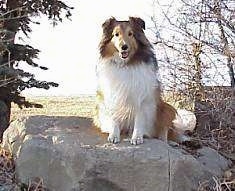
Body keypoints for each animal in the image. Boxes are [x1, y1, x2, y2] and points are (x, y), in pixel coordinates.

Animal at [93, 16, 195, 145]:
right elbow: (115, 117)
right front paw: (114, 135)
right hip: (99, 107)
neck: (126, 64)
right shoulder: (113, 95)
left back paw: (168, 142)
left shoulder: (143, 96)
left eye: (130, 34)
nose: (124, 47)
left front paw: (137, 137)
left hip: (166, 108)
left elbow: (139, 119)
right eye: (116, 34)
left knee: (165, 131)